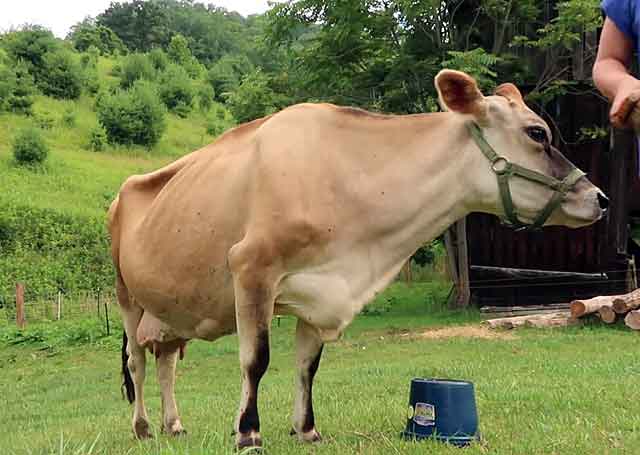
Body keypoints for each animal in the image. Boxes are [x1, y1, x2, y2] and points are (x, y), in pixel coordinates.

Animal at [107, 70, 608, 449]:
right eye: (537, 133)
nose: (600, 198)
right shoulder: (251, 269)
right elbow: (256, 360)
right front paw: (248, 433)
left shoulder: (323, 291)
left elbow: (307, 366)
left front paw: (307, 430)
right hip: (126, 296)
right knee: (136, 362)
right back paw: (143, 427)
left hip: (171, 308)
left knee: (166, 362)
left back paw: (174, 425)